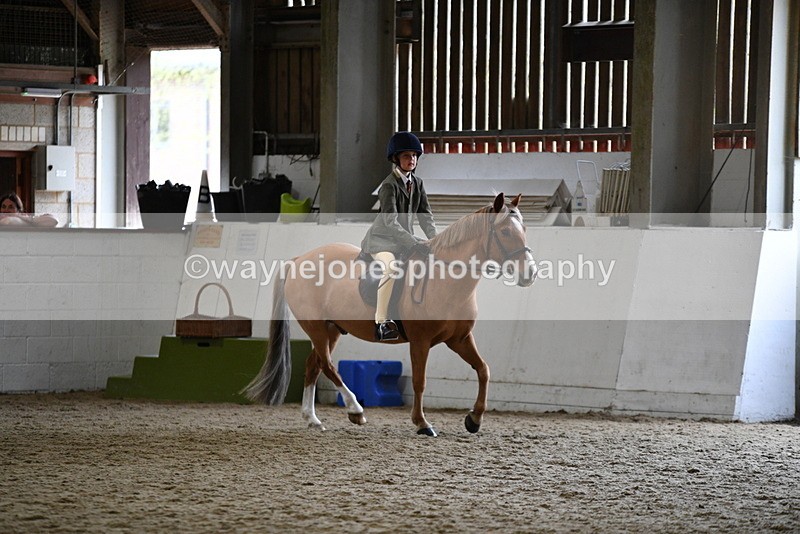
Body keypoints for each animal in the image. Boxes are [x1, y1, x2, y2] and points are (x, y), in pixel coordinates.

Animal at [244, 192, 536, 436]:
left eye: (524, 230)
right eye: (506, 231)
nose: (530, 274)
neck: (445, 279)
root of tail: (298, 260)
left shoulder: (459, 339)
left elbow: (483, 369)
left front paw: (474, 419)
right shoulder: (420, 341)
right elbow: (419, 381)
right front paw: (422, 423)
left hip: (331, 329)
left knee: (313, 365)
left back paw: (313, 419)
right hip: (315, 326)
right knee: (327, 366)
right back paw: (355, 410)